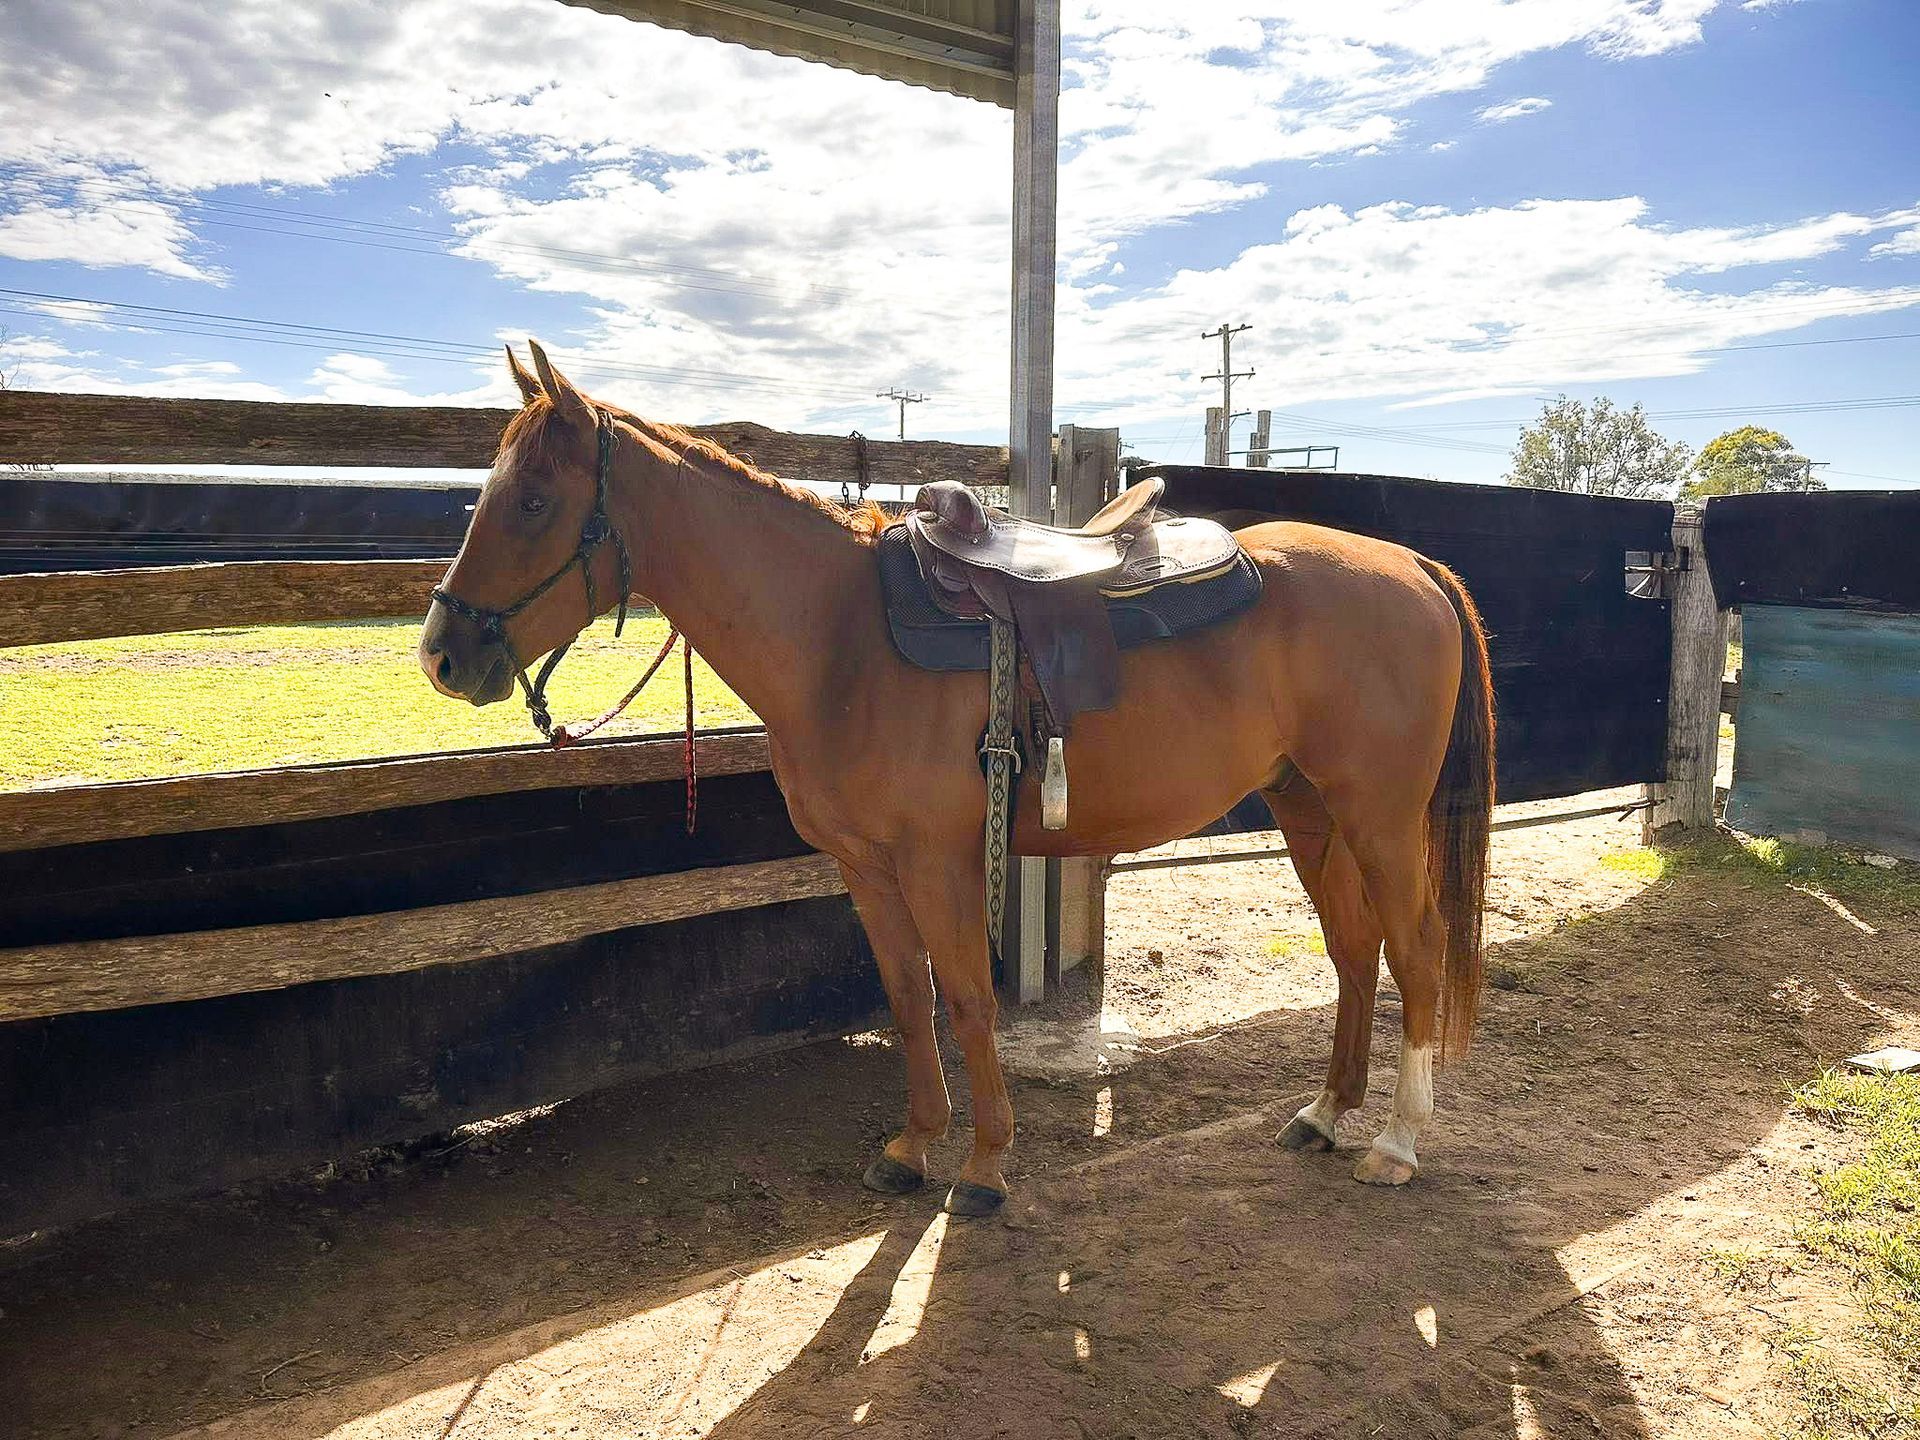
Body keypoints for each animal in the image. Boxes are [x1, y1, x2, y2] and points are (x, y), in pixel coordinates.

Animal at [419, 341, 1496, 1217]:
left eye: (532, 500)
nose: (440, 655)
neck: (839, 639)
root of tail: (1414, 564)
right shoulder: (864, 866)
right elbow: (907, 996)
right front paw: (915, 1147)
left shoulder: (940, 862)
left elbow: (971, 997)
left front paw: (984, 1167)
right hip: (1307, 808)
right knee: (1355, 949)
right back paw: (1324, 1114)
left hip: (1380, 818)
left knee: (1415, 951)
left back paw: (1397, 1143)